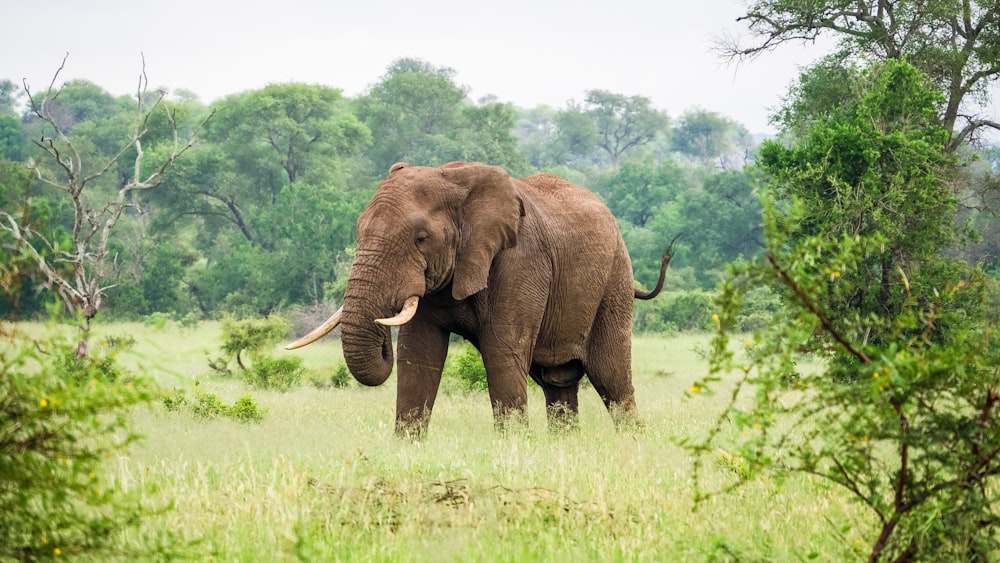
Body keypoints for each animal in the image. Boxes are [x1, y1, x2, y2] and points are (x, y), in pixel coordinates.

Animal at [288, 161, 672, 438]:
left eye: (421, 238)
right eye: (358, 230)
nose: (382, 331)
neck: (455, 181)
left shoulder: (520, 262)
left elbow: (502, 351)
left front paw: (513, 448)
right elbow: (418, 353)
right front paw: (407, 447)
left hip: (614, 281)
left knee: (612, 378)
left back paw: (632, 443)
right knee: (558, 384)